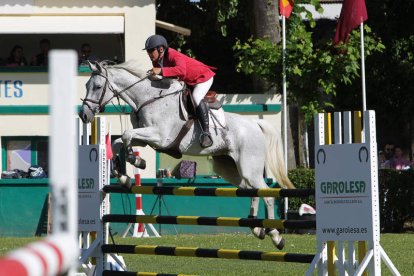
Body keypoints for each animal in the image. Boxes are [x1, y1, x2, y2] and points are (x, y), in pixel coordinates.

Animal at [77, 60, 294, 250]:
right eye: (86, 84)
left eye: (97, 86)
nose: (84, 115)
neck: (147, 98)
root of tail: (255, 124)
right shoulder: (147, 138)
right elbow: (119, 141)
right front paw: (125, 174)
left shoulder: (159, 136)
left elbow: (126, 135)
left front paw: (136, 161)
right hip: (229, 168)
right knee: (251, 190)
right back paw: (256, 228)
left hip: (249, 167)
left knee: (266, 194)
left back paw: (275, 236)